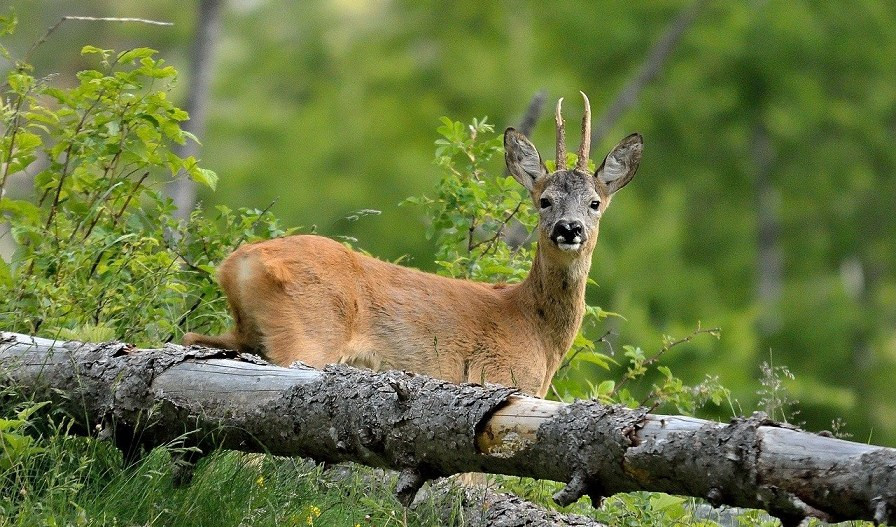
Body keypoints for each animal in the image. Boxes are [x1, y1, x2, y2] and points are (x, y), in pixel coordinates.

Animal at [184, 93, 644, 396]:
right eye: (544, 200)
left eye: (595, 203)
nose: (569, 228)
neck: (536, 329)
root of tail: (239, 263)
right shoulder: (497, 380)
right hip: (305, 338)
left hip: (241, 335)